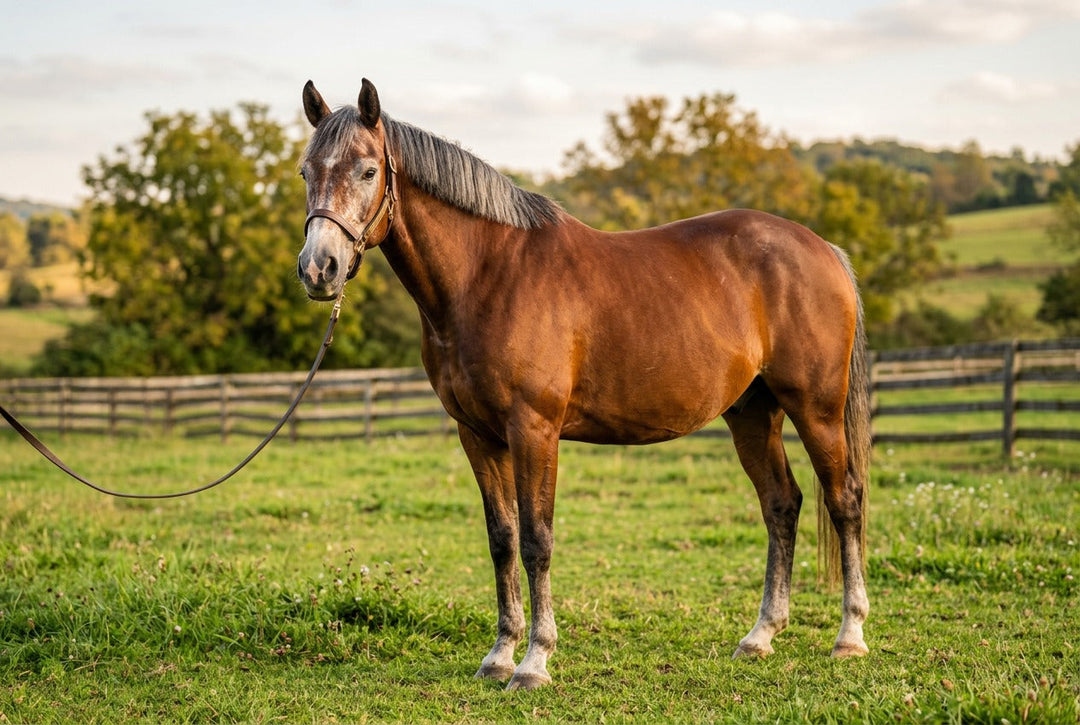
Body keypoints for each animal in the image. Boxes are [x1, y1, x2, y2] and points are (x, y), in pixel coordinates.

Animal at [296, 79, 872, 691]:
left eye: (367, 170)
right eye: (306, 171)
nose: (318, 269)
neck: (488, 275)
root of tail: (824, 250)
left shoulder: (534, 430)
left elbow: (536, 540)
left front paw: (534, 661)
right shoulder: (477, 434)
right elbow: (502, 540)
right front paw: (500, 654)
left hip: (816, 410)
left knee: (844, 501)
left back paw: (850, 635)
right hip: (753, 413)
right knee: (781, 504)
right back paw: (761, 636)